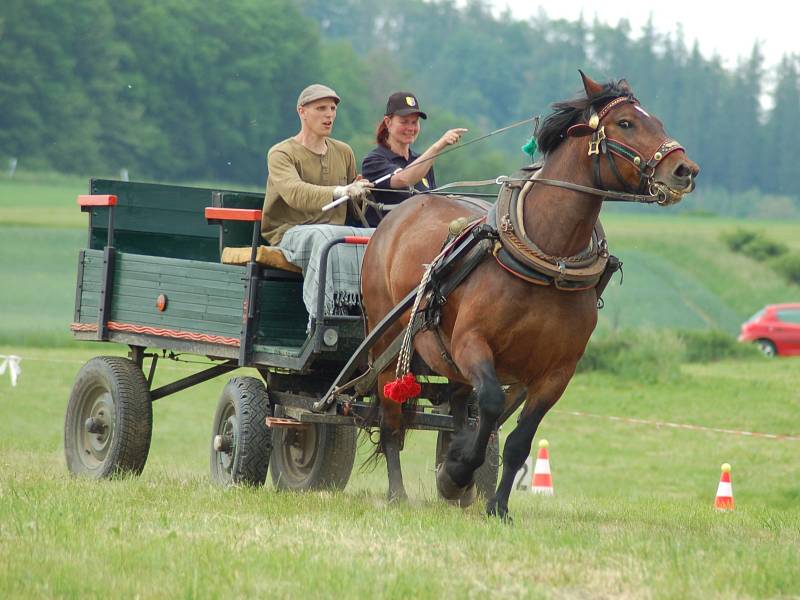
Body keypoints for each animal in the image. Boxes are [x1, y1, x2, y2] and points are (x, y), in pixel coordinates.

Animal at [360, 72, 696, 516]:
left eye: (655, 118)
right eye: (625, 123)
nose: (684, 169)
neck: (549, 259)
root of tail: (402, 211)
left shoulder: (558, 371)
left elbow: (519, 439)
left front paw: (494, 504)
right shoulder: (472, 342)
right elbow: (489, 403)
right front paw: (458, 473)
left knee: (458, 408)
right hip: (386, 343)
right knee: (391, 421)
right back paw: (398, 492)